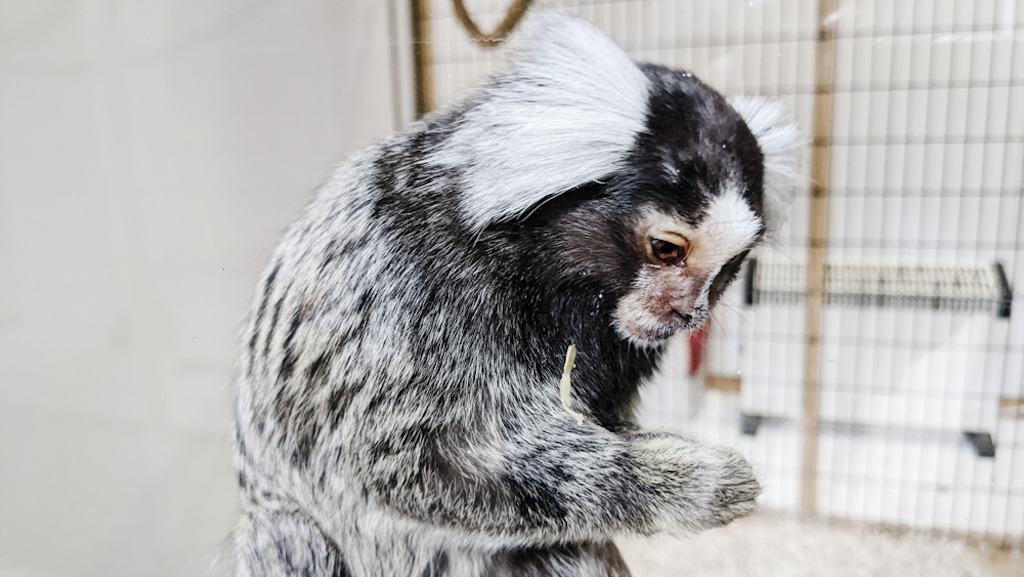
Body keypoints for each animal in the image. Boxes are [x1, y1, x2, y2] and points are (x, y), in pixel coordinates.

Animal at [231, 10, 802, 577]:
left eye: (728, 268)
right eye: (666, 249)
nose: (688, 312)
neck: (536, 274)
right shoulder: (402, 291)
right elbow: (406, 462)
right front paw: (685, 485)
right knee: (293, 534)